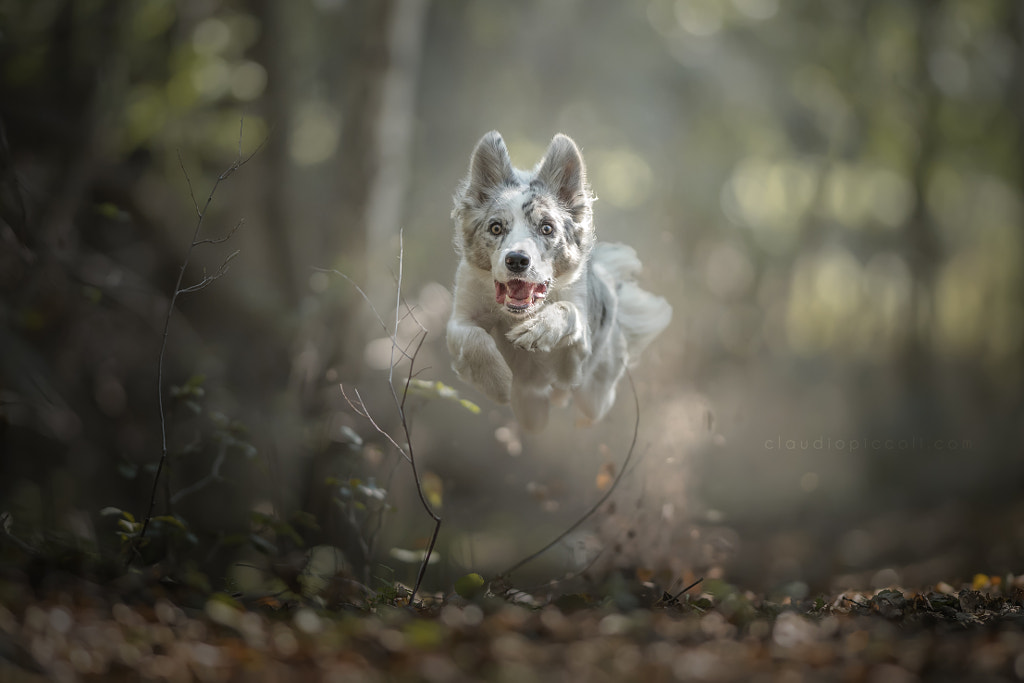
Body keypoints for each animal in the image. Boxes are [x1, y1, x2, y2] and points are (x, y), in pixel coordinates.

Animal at [446, 133, 671, 430]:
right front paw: (500, 384)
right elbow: (471, 339)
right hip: (533, 414)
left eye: (546, 228)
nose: (517, 260)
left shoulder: (575, 358)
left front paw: (538, 329)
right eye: (496, 227)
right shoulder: (461, 315)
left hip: (593, 395)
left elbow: (567, 311)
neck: (515, 314)